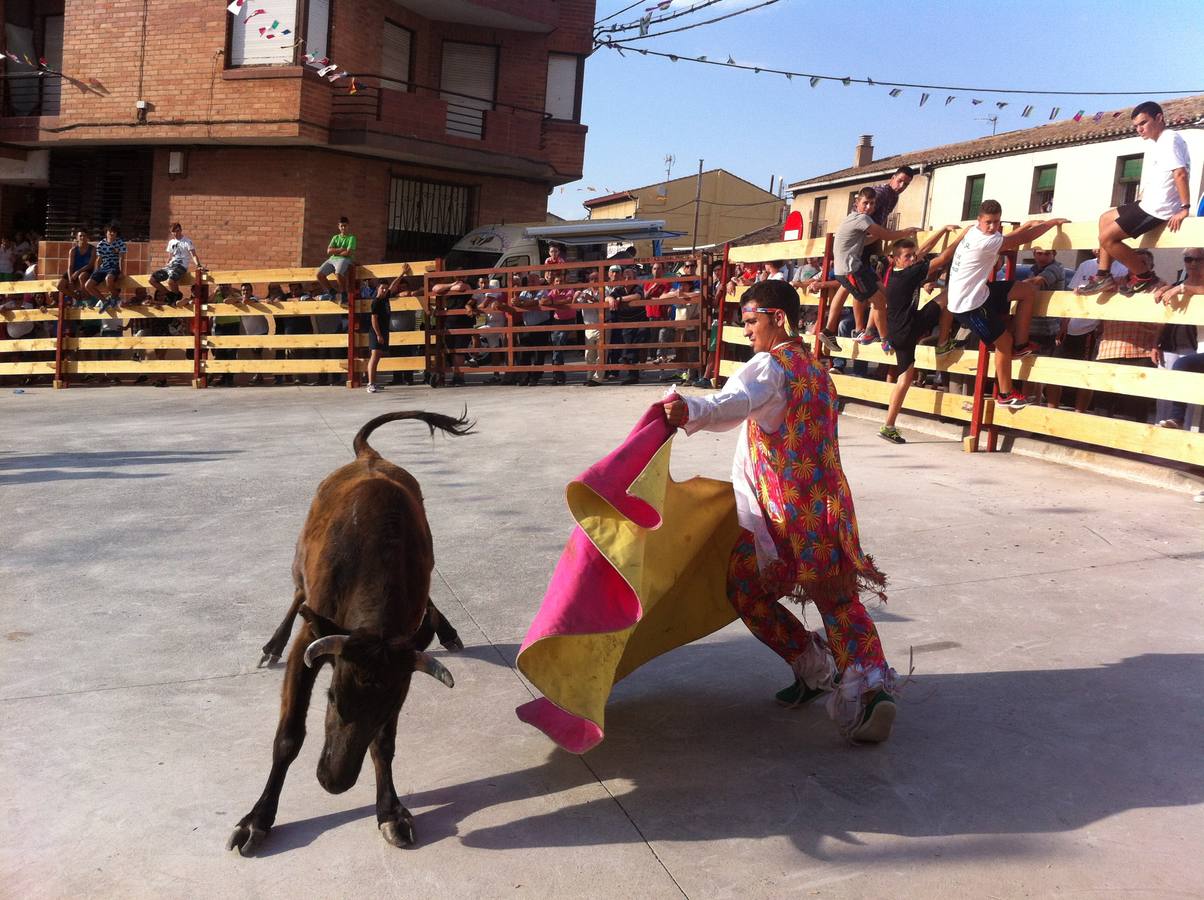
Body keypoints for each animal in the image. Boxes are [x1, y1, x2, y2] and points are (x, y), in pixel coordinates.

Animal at [227, 411, 471, 856]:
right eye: (332, 697)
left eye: (386, 710)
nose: (333, 782)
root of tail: (367, 455)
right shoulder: (309, 641)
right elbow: (288, 735)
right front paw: (258, 818)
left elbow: (385, 744)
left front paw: (390, 811)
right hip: (299, 559)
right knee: (297, 593)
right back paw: (272, 644)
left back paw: (444, 627)